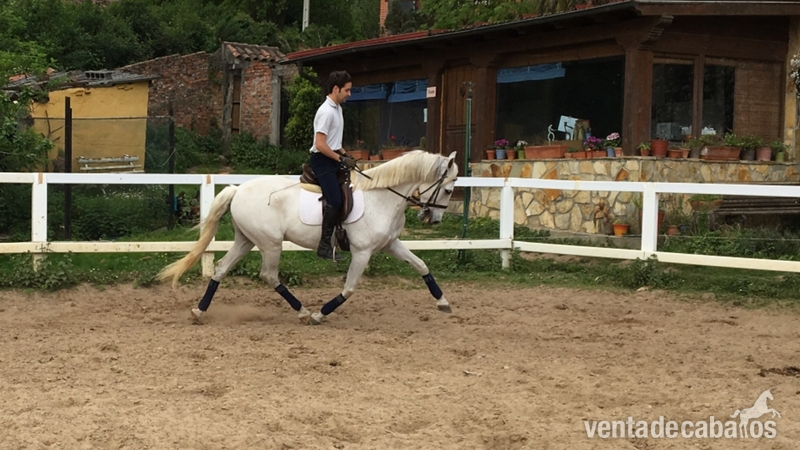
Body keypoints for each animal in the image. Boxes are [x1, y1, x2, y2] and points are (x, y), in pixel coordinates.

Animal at [156, 150, 459, 325]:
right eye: (448, 189)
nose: (433, 219)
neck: (382, 196)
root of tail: (238, 189)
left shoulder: (390, 244)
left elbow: (421, 265)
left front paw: (443, 302)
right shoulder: (362, 252)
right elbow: (349, 288)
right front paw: (319, 314)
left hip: (246, 240)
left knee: (221, 269)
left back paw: (199, 312)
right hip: (270, 244)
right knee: (269, 275)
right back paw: (302, 311)